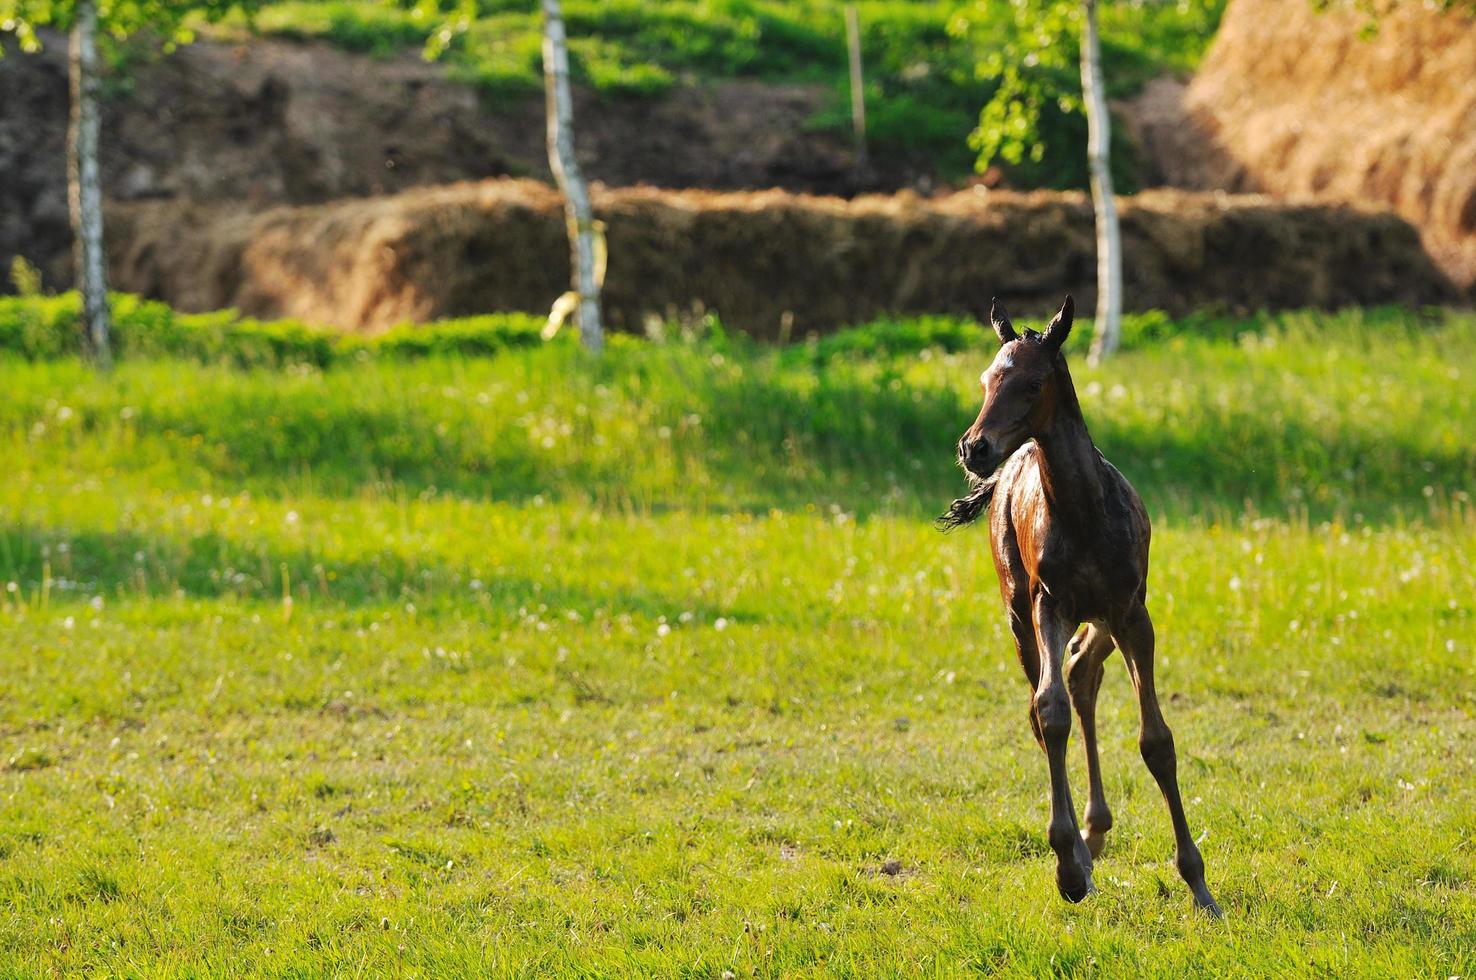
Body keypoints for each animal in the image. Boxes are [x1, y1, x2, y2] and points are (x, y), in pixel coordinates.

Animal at [944, 295, 1222, 915]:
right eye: (986, 379)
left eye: (1032, 383)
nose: (974, 447)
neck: (1085, 512)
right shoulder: (1050, 605)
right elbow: (1050, 713)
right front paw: (1068, 867)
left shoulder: (1133, 612)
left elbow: (1156, 740)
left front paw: (1199, 885)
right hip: (1021, 612)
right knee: (1050, 697)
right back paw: (1083, 848)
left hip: (1105, 617)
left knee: (1082, 672)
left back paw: (1095, 832)